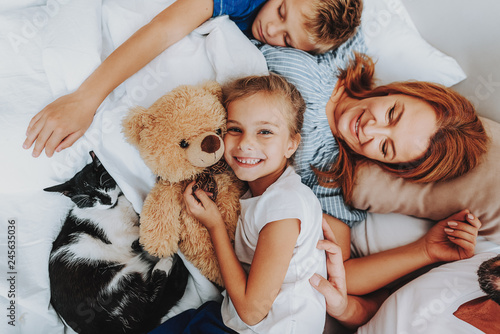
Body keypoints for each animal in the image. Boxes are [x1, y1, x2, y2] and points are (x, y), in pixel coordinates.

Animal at [45, 152, 188, 334]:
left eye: (103, 183)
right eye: (89, 198)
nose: (106, 199)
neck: (116, 206)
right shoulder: (119, 238)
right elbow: (138, 236)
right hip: (120, 283)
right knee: (151, 303)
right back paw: (165, 264)